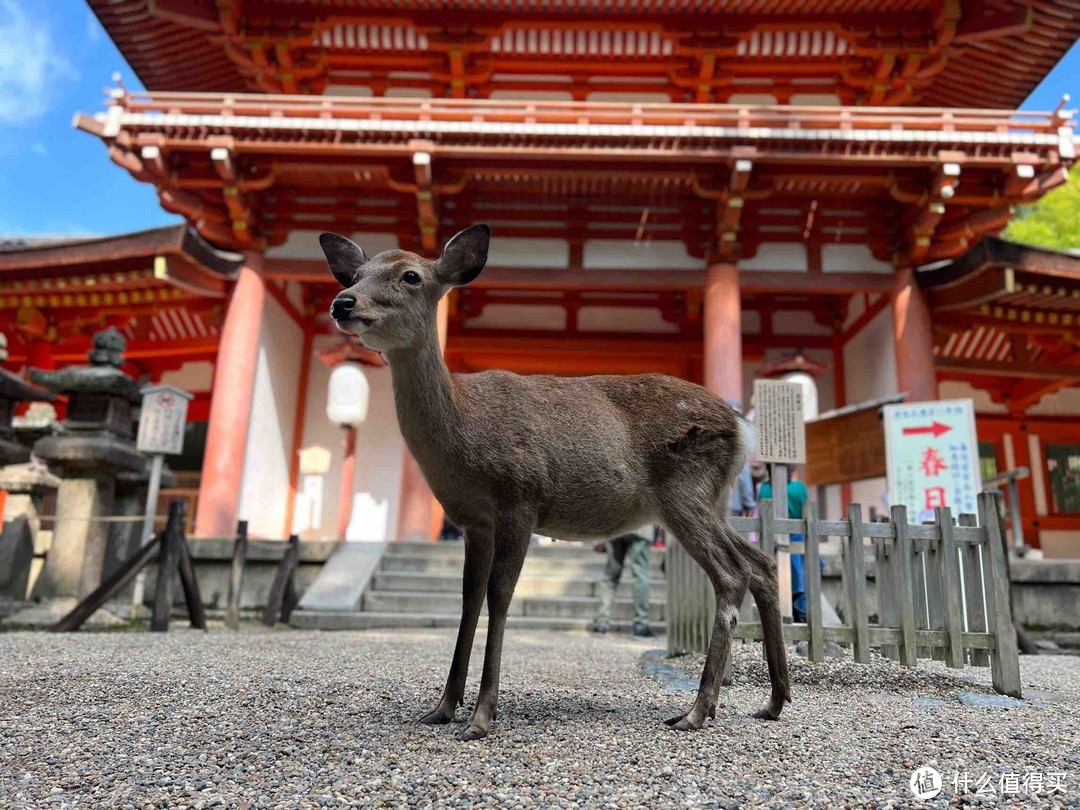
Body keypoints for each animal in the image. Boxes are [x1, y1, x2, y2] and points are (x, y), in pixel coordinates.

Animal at [324, 223, 790, 743]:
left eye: (410, 275)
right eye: (357, 274)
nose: (343, 303)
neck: (464, 432)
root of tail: (743, 428)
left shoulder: (520, 497)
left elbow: (500, 594)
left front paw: (481, 716)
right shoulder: (472, 520)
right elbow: (467, 599)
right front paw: (442, 707)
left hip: (685, 490)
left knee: (731, 573)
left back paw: (697, 709)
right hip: (713, 498)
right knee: (761, 562)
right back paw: (774, 700)